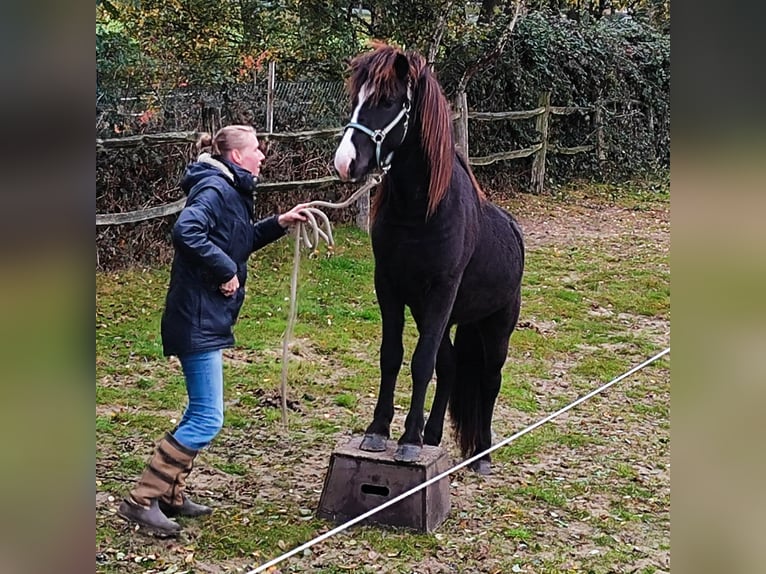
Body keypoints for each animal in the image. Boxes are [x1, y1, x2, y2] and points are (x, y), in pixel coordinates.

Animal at [336, 44, 528, 476]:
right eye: (355, 98)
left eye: (387, 101)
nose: (345, 162)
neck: (421, 210)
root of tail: (514, 231)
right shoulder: (389, 287)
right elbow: (392, 356)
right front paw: (379, 432)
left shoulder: (441, 293)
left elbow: (421, 362)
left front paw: (409, 441)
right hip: (438, 316)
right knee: (453, 366)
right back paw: (434, 436)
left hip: (495, 326)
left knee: (489, 380)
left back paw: (482, 455)